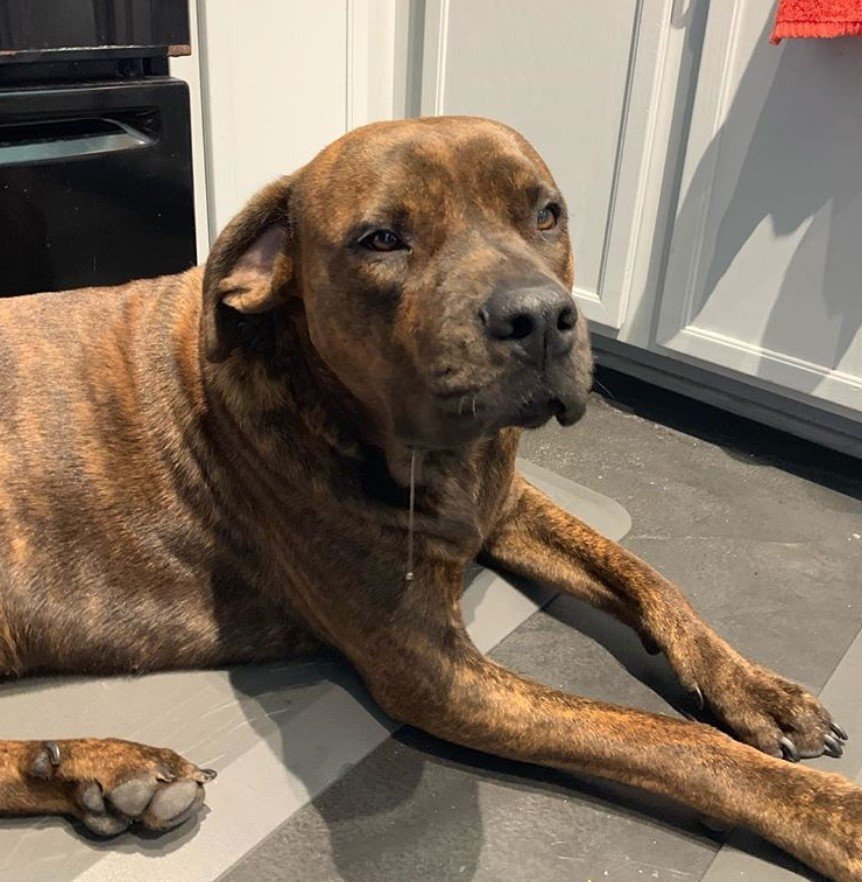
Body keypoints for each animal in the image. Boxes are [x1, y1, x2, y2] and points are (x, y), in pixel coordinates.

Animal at [1, 115, 862, 872]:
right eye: (382, 239)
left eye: (546, 214)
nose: (540, 317)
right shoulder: (432, 668)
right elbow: (658, 737)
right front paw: (830, 814)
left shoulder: (506, 506)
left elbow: (649, 578)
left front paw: (758, 689)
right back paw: (107, 766)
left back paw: (90, 775)